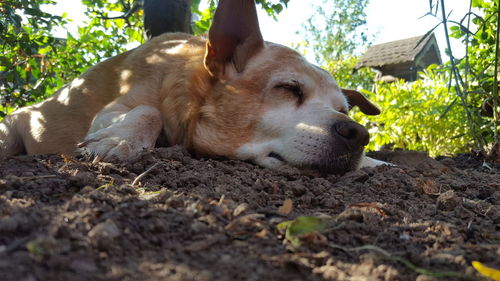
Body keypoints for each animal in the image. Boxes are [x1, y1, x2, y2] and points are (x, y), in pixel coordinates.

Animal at [0, 0, 386, 173]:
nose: (358, 134)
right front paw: (120, 140)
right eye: (289, 89)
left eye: (343, 109)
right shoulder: (116, 107)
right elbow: (148, 110)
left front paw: (374, 162)